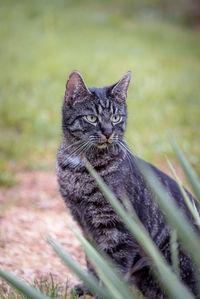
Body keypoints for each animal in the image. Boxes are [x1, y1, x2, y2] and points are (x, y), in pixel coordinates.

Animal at [56, 71, 200, 298]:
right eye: (92, 118)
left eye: (116, 118)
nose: (108, 132)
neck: (80, 166)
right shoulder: (85, 225)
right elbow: (93, 261)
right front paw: (90, 287)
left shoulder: (117, 229)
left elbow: (113, 267)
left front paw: (106, 292)